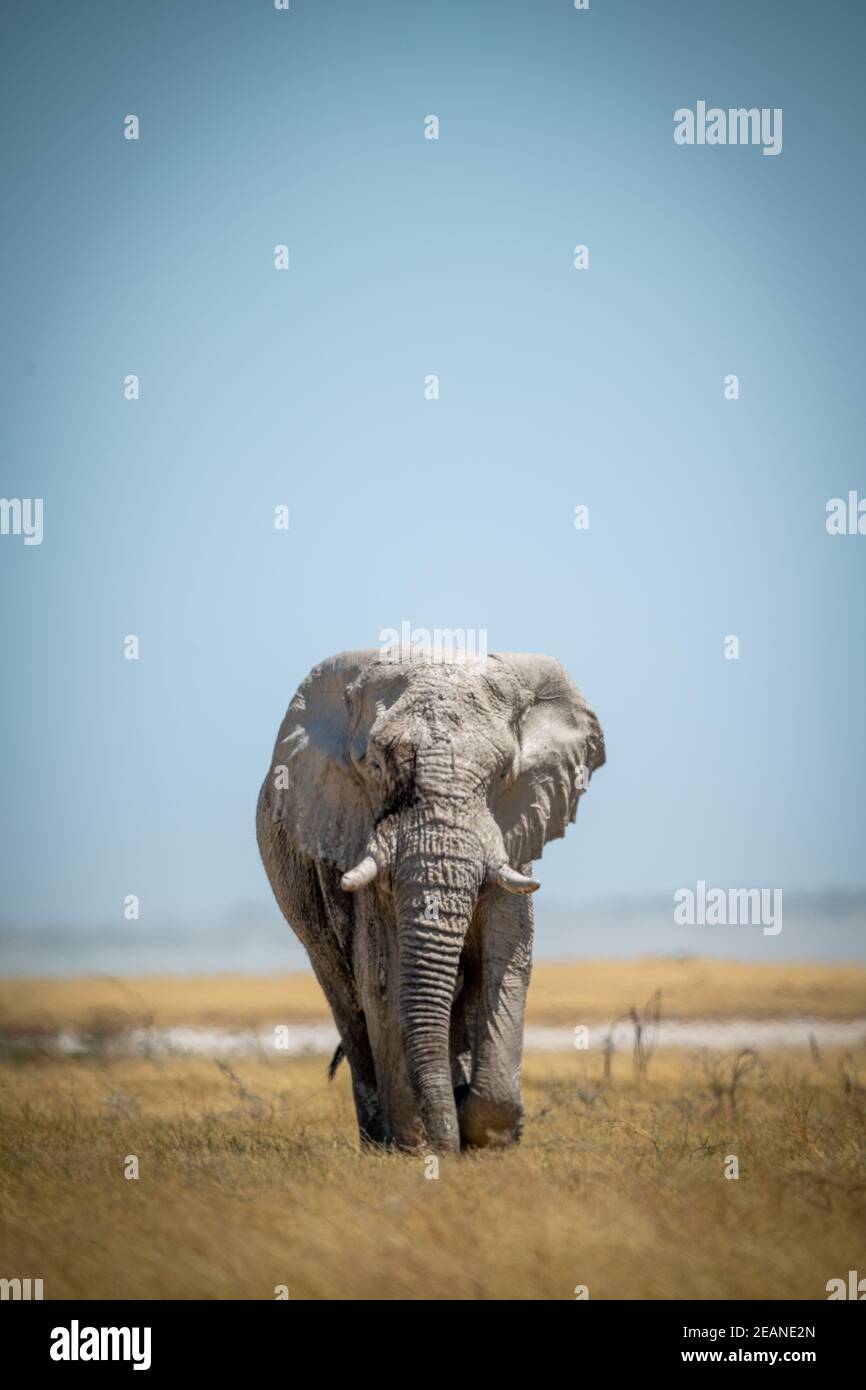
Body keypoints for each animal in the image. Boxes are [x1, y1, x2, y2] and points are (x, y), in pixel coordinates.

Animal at [256, 648, 605, 1154]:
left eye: (504, 774)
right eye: (375, 767)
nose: (447, 1144)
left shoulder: (515, 833)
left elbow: (504, 961)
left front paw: (485, 1138)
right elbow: (383, 978)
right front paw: (421, 1149)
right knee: (346, 1000)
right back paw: (379, 1138)